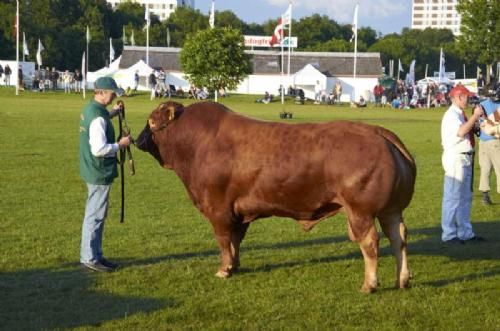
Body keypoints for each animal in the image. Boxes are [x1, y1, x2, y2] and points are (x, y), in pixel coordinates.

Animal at [135, 101, 416, 294]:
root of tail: (378, 133)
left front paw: (224, 270)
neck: (195, 145)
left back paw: (369, 284)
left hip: (361, 211)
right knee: (398, 239)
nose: (136, 140)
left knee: (370, 243)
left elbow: (224, 241)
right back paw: (402, 279)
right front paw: (235, 265)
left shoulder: (218, 210)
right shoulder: (239, 212)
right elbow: (236, 241)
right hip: (391, 210)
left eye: (151, 122)